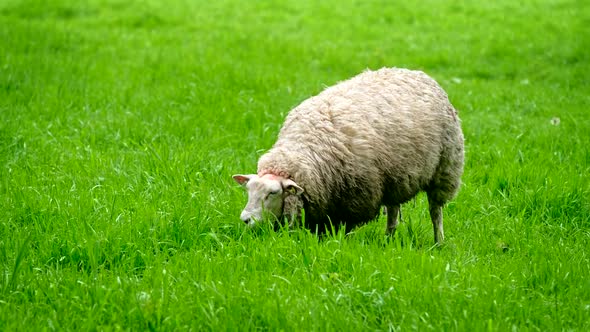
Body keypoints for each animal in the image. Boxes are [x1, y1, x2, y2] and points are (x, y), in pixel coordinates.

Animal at [234, 67, 464, 244]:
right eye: (248, 190)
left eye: (273, 193)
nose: (245, 219)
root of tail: (416, 73)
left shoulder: (356, 201)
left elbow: (346, 230)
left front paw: (343, 247)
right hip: (394, 177)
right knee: (393, 211)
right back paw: (388, 240)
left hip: (445, 169)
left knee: (435, 211)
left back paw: (439, 242)